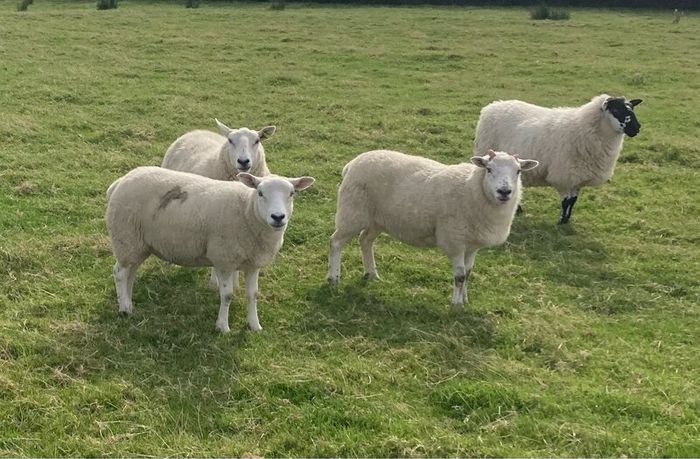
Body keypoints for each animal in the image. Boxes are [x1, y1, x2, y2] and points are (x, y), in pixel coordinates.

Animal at [105, 166, 315, 333]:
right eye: (260, 193)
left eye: (292, 194)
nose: (278, 217)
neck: (247, 210)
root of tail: (120, 182)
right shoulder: (224, 259)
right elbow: (227, 295)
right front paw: (222, 327)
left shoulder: (253, 263)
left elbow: (253, 294)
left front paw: (254, 325)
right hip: (125, 237)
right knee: (119, 273)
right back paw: (124, 309)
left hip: (138, 244)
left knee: (130, 273)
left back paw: (128, 302)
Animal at [326, 149, 538, 308]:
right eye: (489, 169)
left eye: (518, 171)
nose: (504, 191)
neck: (473, 189)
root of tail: (351, 164)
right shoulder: (454, 240)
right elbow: (460, 276)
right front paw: (456, 305)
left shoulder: (472, 244)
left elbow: (469, 274)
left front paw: (465, 300)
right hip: (352, 212)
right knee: (335, 242)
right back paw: (333, 278)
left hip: (377, 219)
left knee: (365, 240)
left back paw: (371, 274)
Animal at [474, 94, 642, 224]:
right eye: (616, 110)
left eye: (632, 109)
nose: (637, 128)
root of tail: (493, 105)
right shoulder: (564, 175)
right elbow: (566, 201)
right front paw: (561, 222)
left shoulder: (577, 177)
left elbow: (573, 201)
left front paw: (567, 220)